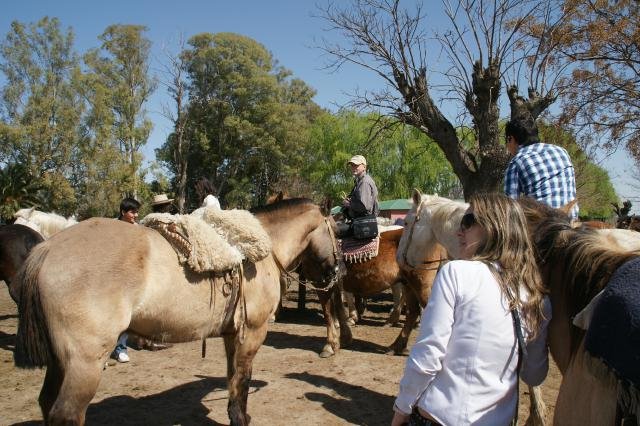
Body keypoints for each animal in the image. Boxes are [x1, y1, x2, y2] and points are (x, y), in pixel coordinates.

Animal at [13, 199, 340, 426]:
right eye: (336, 229)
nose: (336, 270)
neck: (263, 249)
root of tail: (46, 250)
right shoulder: (253, 332)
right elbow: (244, 379)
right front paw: (240, 418)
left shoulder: (232, 334)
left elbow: (233, 378)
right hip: (85, 363)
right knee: (66, 414)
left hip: (60, 362)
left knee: (46, 402)